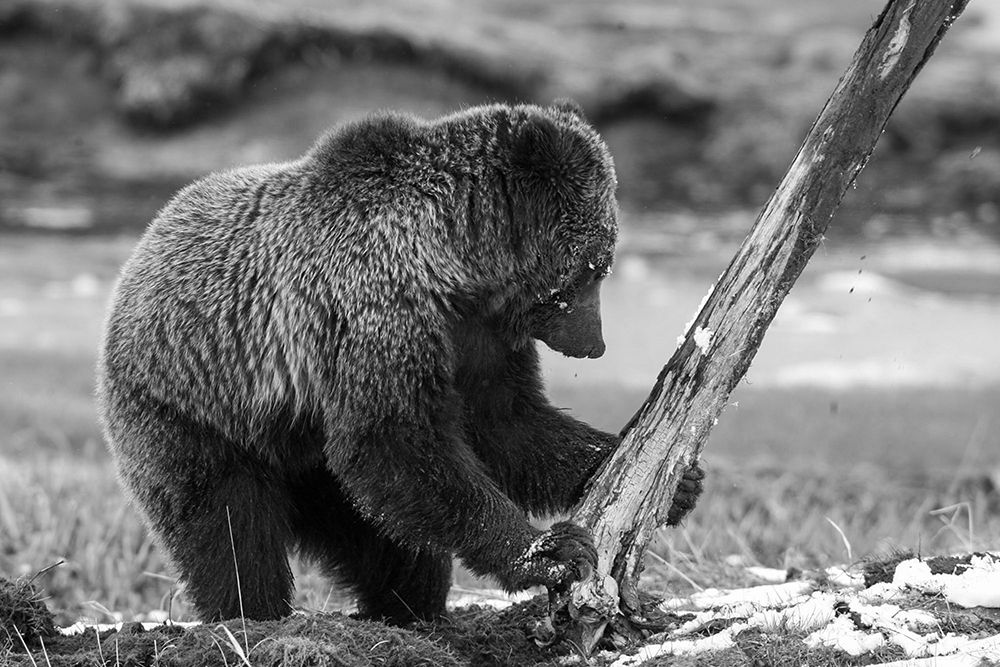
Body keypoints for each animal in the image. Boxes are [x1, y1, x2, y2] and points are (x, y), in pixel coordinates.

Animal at [97, 101, 703, 625]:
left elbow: (504, 424)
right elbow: (395, 441)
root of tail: (138, 258)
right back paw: (252, 616)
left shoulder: (476, 336)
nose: (595, 344)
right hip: (196, 412)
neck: (454, 262)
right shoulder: (377, 308)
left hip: (315, 468)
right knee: (229, 530)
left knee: (388, 544)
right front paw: (551, 550)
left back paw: (404, 611)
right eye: (595, 267)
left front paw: (673, 480)